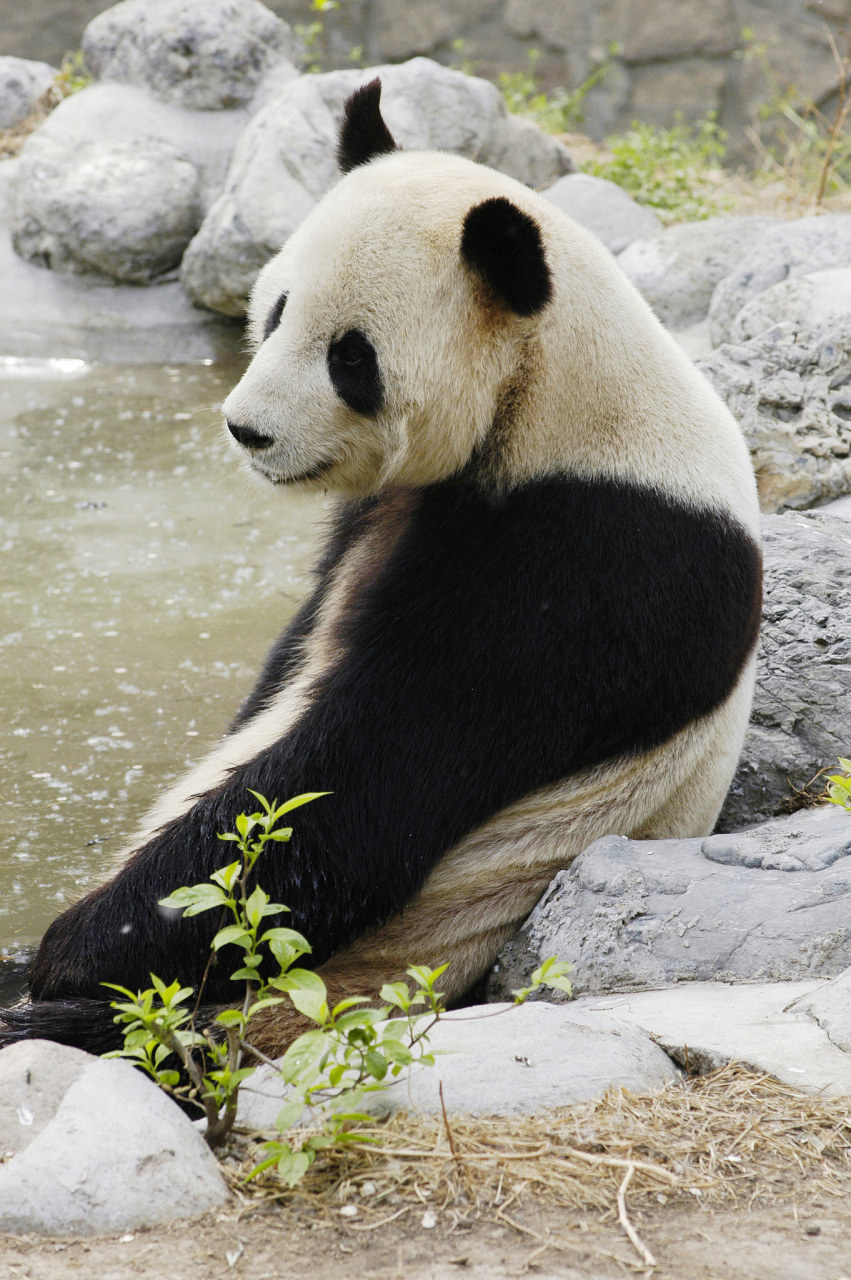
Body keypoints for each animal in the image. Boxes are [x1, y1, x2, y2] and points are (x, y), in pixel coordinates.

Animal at [0, 82, 757, 1059]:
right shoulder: (383, 520)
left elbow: (358, 785)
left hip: (356, 966)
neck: (550, 391)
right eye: (275, 309)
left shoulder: (590, 563)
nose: (247, 430)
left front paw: (74, 949)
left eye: (350, 356)